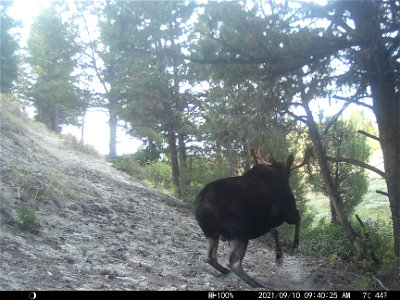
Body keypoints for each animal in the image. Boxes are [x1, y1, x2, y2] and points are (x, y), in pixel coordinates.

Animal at [195, 148, 312, 288]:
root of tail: (203, 205)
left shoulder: (264, 223)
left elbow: (275, 231)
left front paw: (279, 257)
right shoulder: (289, 212)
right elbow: (298, 220)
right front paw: (293, 246)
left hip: (211, 233)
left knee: (210, 258)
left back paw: (225, 271)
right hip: (240, 232)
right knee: (234, 263)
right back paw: (257, 284)